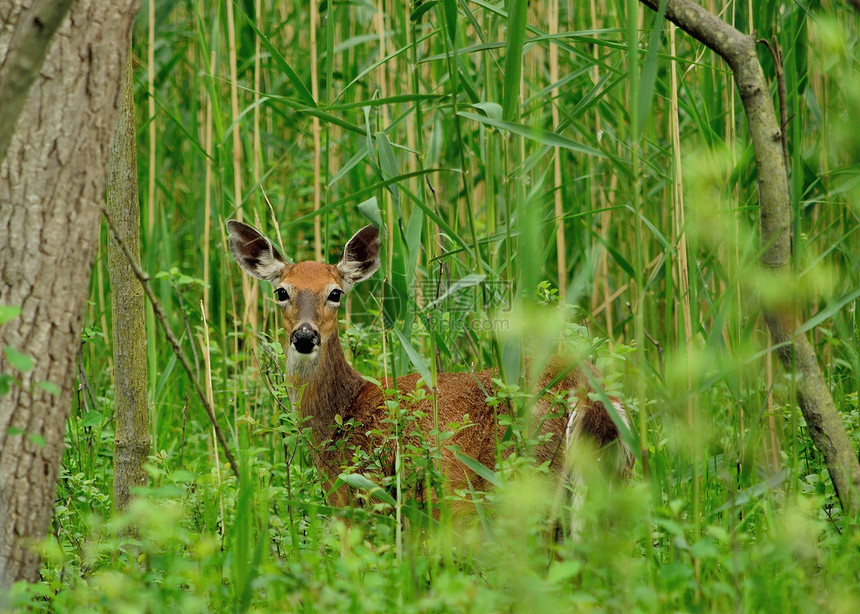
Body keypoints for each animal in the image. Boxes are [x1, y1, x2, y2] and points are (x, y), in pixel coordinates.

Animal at [225, 221, 636, 520]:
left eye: (335, 293)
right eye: (282, 291)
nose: (305, 336)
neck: (342, 410)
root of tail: (585, 388)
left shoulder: (358, 492)